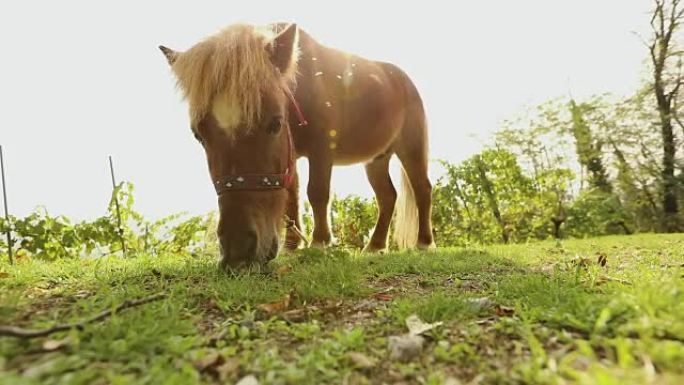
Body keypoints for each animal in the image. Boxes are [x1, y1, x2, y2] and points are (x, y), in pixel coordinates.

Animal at [160, 22, 432, 268]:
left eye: (275, 123)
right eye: (198, 134)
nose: (238, 250)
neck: (303, 83)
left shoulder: (322, 150)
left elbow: (317, 192)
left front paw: (319, 242)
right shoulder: (290, 155)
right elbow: (292, 196)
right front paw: (292, 246)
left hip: (411, 149)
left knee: (422, 189)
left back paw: (424, 243)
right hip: (377, 159)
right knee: (387, 196)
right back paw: (375, 246)